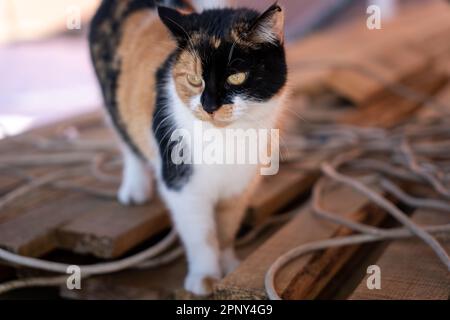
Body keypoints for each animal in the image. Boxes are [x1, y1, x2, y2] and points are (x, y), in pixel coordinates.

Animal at [90, 0, 288, 296]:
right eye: (195, 79)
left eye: (237, 78)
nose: (209, 106)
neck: (225, 139)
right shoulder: (183, 187)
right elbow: (201, 235)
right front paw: (205, 278)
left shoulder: (241, 184)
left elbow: (227, 228)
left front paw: (230, 267)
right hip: (113, 105)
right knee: (128, 144)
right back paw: (135, 188)